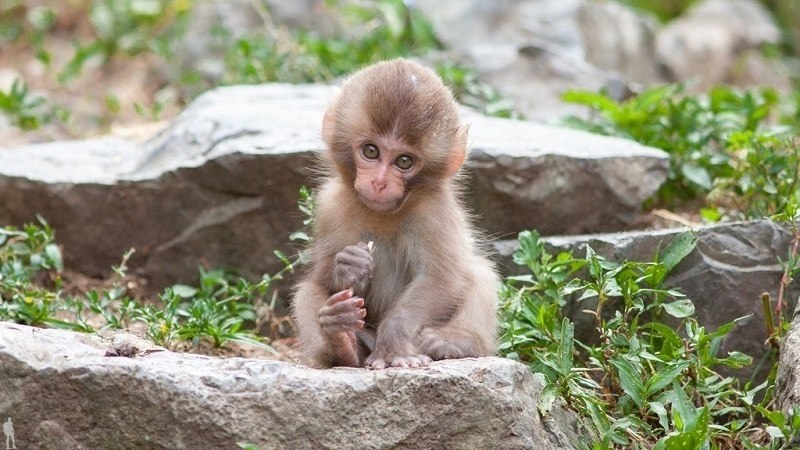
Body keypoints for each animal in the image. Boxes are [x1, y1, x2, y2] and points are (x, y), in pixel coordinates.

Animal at [290, 58, 496, 370]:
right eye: (371, 151)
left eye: (404, 161)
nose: (379, 182)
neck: (384, 214)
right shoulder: (330, 206)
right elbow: (321, 279)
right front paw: (348, 266)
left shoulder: (433, 212)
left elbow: (441, 278)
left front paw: (395, 347)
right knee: (308, 291)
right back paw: (342, 342)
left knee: (479, 273)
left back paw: (456, 341)